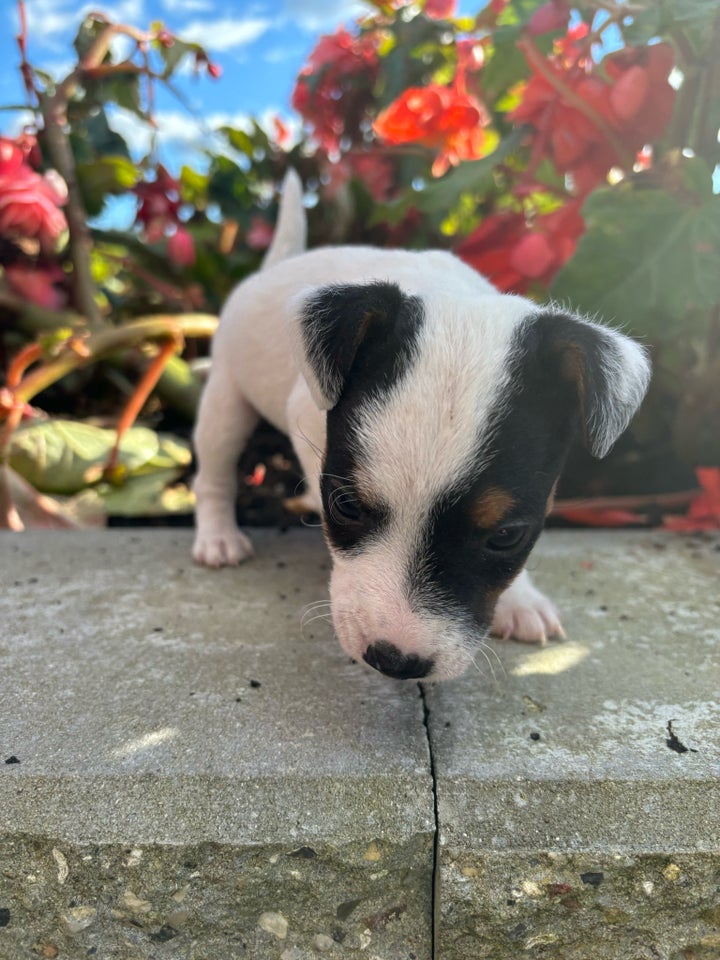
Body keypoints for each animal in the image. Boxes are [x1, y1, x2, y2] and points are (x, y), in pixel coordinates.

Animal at [193, 172, 652, 684]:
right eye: (345, 505)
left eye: (507, 535)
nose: (395, 662)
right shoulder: (304, 416)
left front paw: (521, 599)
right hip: (226, 398)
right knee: (212, 471)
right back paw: (217, 537)